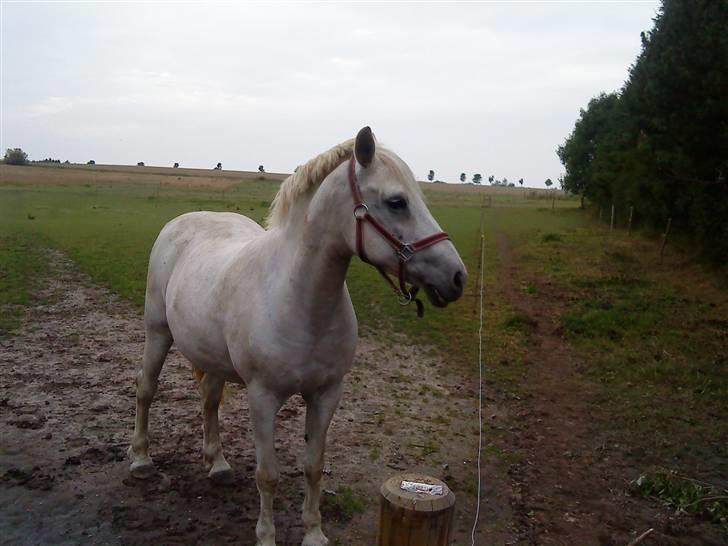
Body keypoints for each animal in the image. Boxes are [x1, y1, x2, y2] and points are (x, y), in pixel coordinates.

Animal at [128, 127, 467, 546]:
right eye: (396, 201)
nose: (456, 277)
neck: (299, 301)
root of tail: (182, 223)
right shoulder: (262, 397)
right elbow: (268, 475)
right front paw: (266, 536)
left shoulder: (325, 394)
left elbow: (313, 466)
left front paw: (314, 533)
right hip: (157, 333)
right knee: (146, 389)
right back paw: (141, 460)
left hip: (213, 358)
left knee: (209, 400)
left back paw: (218, 463)